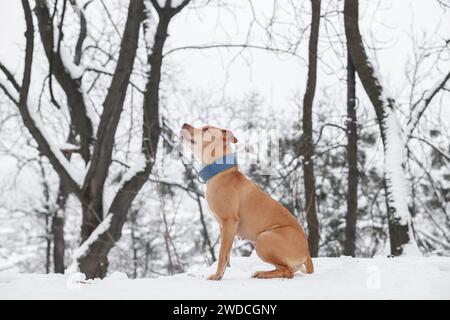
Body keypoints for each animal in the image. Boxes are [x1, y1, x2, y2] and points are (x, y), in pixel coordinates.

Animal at [179, 123, 312, 280]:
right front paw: (221, 274)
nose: (184, 124)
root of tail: (307, 253)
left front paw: (216, 276)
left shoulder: (229, 222)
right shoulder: (225, 228)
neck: (220, 172)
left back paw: (262, 273)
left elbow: (221, 254)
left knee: (288, 272)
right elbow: (226, 254)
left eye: (206, 129)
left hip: (264, 239)